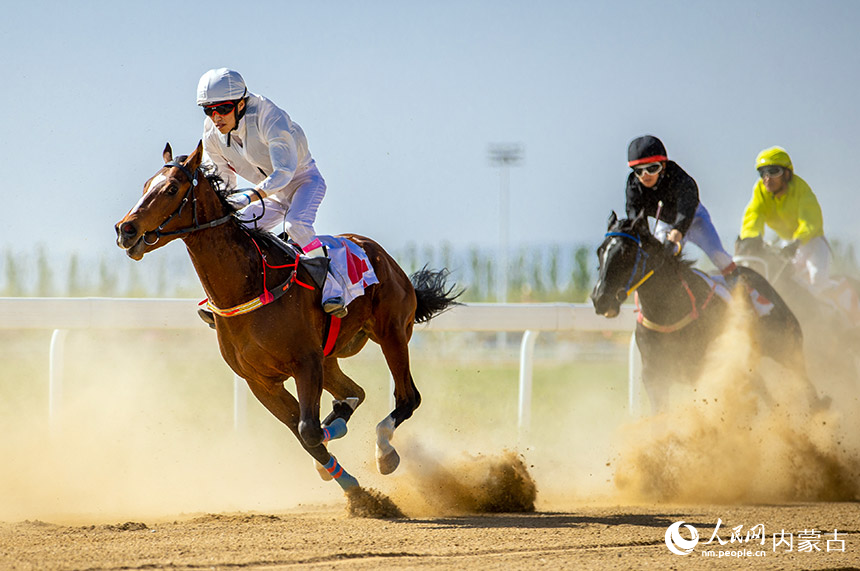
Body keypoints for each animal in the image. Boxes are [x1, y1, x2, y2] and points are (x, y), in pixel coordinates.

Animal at [119, 143, 464, 492]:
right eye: (146, 185)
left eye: (171, 188)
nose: (126, 229)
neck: (249, 284)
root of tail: (384, 257)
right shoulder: (260, 381)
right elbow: (303, 433)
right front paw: (339, 473)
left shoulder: (305, 364)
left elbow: (308, 430)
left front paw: (352, 484)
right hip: (330, 357)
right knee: (354, 393)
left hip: (391, 333)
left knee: (407, 398)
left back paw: (384, 452)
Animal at [592, 212, 820, 414]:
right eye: (600, 251)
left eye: (627, 252)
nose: (599, 298)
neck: (668, 312)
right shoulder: (655, 376)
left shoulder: (706, 372)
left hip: (786, 346)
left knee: (804, 381)